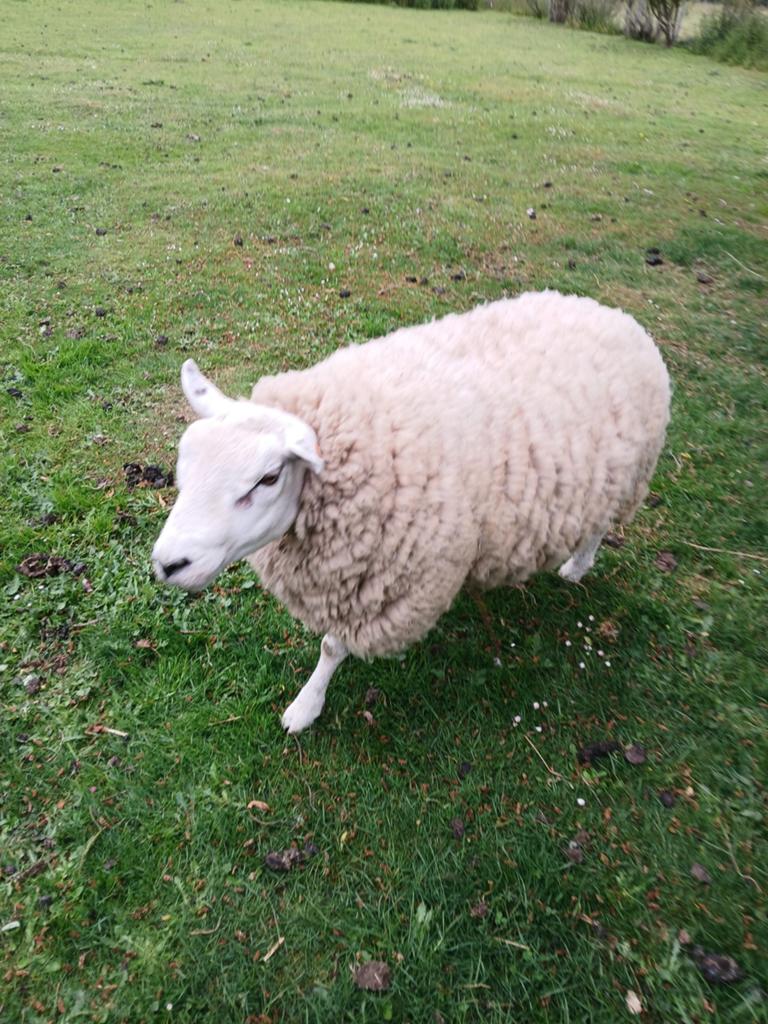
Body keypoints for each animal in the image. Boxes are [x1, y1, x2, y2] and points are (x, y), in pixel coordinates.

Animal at [152, 290, 670, 733]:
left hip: (625, 476)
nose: (167, 564)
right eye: (185, 461)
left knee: (599, 527)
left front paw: (306, 706)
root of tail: (612, 314)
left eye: (268, 478)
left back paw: (576, 566)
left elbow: (333, 646)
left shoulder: (384, 584)